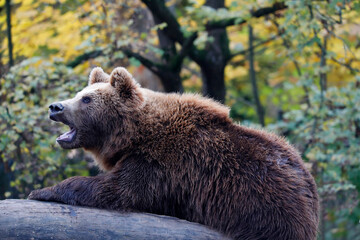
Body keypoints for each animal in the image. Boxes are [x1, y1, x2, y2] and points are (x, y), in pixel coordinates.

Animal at [29, 66, 320, 239]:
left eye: (86, 99)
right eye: (80, 92)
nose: (55, 106)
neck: (133, 136)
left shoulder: (163, 163)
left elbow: (118, 190)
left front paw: (42, 191)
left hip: (268, 208)